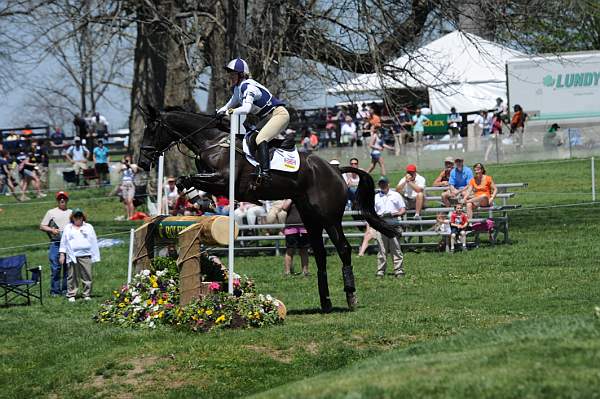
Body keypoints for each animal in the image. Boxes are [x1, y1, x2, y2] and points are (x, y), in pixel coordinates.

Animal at [138, 106, 396, 312]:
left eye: (152, 129)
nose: (142, 162)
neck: (212, 142)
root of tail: (335, 170)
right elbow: (186, 180)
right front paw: (202, 201)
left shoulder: (224, 180)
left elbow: (187, 178)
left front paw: (203, 201)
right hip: (310, 218)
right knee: (320, 254)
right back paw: (326, 302)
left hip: (329, 218)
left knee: (343, 248)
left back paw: (351, 297)